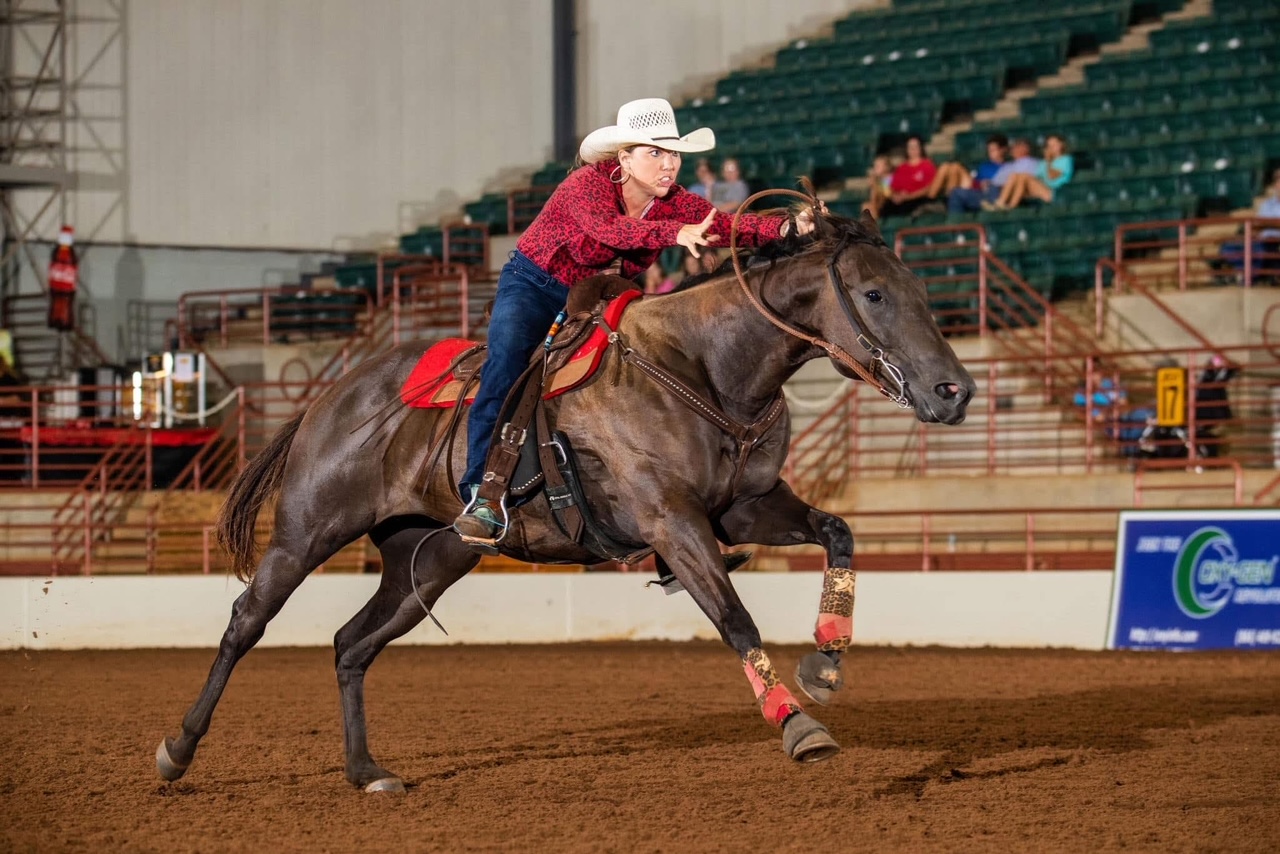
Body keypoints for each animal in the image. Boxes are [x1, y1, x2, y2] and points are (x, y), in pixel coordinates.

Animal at [155, 207, 975, 792]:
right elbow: (735, 617)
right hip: (306, 534)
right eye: (875, 293)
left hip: (429, 559)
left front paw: (825, 665)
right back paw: (177, 751)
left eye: (924, 294)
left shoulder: (744, 508)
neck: (702, 369)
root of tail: (331, 396)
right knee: (245, 623)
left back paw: (366, 773)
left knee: (351, 644)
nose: (955, 390)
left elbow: (838, 532)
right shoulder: (673, 523)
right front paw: (797, 726)